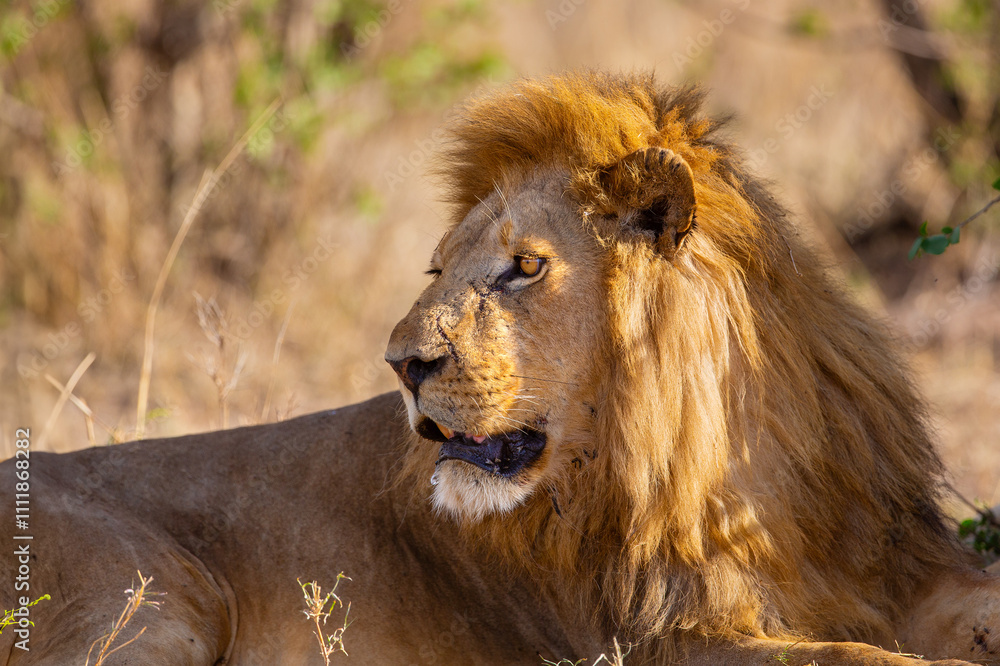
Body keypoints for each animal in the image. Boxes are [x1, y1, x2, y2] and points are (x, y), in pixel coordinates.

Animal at [3, 71, 1000, 665]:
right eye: (438, 270)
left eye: (524, 267)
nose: (402, 364)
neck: (728, 459)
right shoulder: (662, 635)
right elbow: (855, 656)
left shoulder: (893, 566)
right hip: (151, 606)